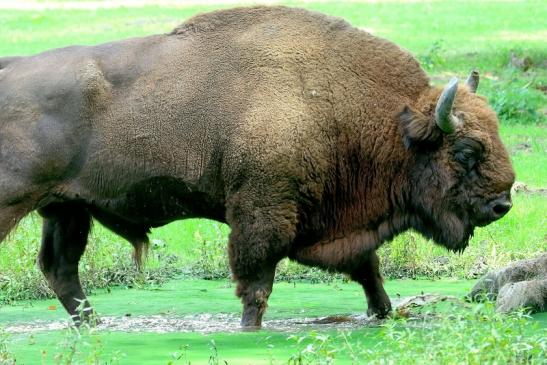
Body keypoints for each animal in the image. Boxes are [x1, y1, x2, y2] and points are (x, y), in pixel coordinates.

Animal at [0, 5, 516, 326]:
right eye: (467, 151)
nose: (502, 205)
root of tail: (10, 67)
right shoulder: (262, 213)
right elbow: (256, 285)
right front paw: (249, 330)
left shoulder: (334, 224)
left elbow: (369, 272)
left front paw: (383, 313)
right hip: (16, 203)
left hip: (65, 208)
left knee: (60, 269)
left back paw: (95, 326)